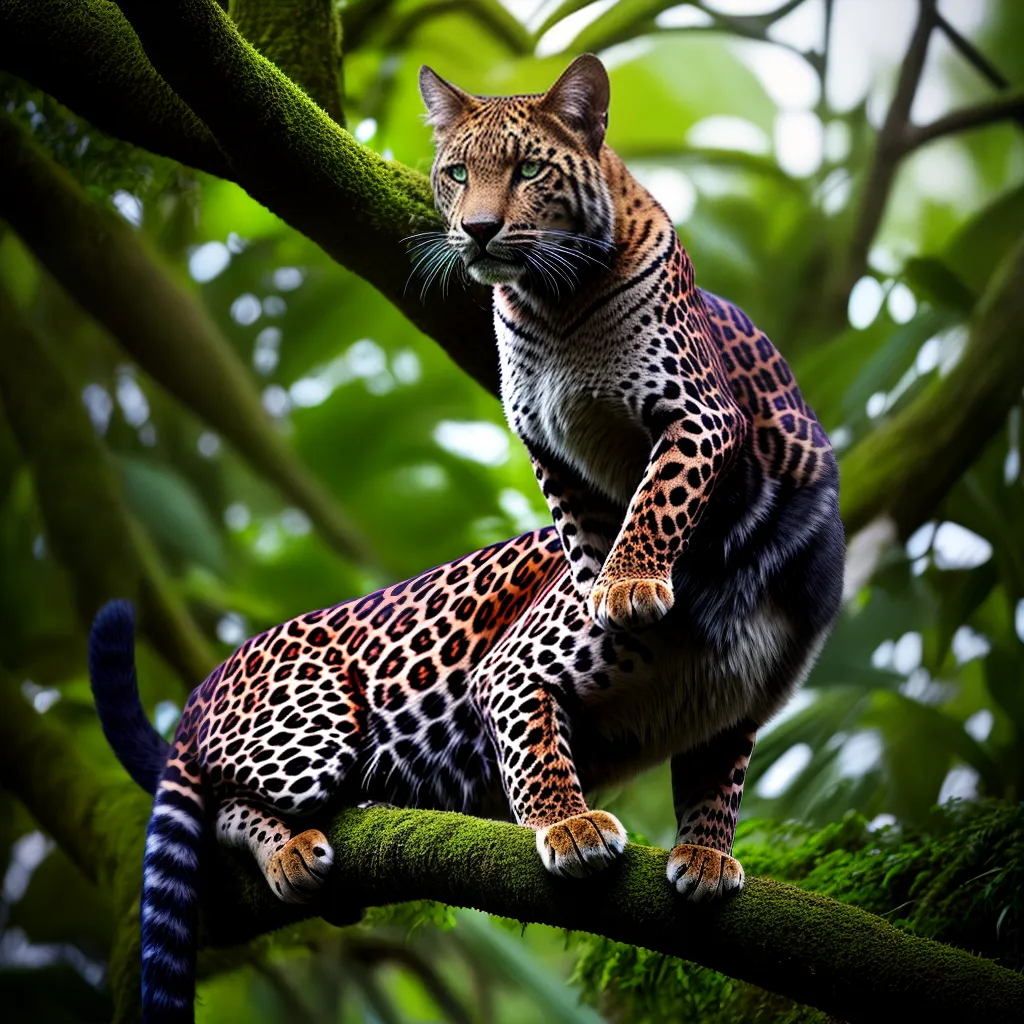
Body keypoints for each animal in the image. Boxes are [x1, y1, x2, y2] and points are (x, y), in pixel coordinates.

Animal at [88, 54, 844, 1024]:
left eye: (526, 171)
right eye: (455, 173)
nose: (479, 230)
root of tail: (205, 684)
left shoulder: (693, 432)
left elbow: (714, 766)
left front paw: (706, 853)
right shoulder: (535, 527)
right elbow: (538, 740)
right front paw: (570, 820)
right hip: (310, 731)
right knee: (223, 802)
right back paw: (290, 848)